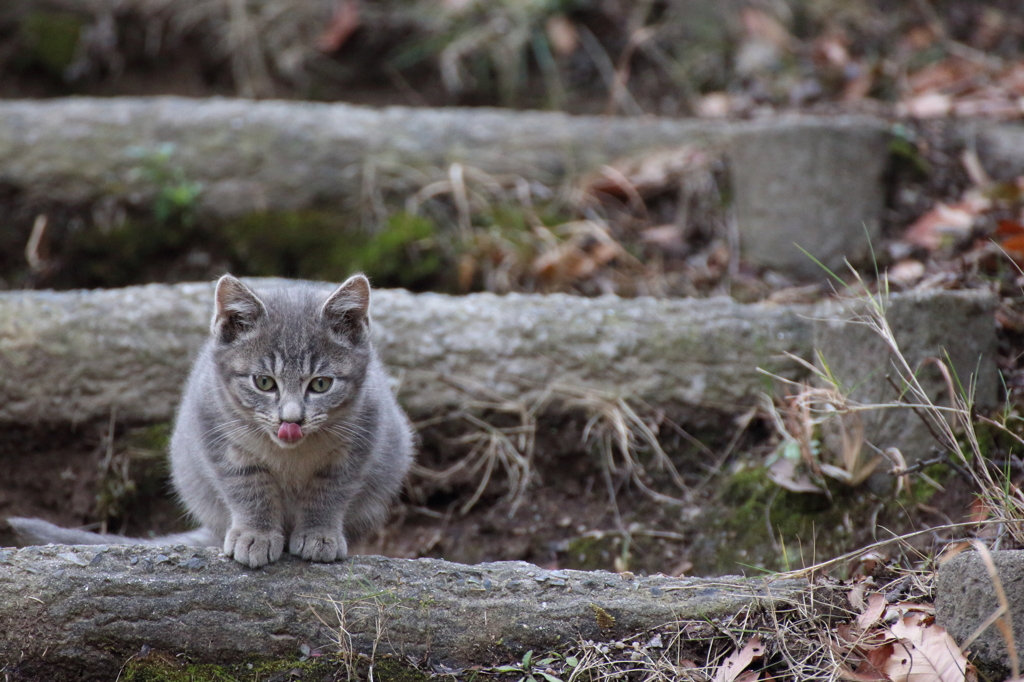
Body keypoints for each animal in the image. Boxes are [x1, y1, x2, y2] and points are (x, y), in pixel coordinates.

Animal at [7, 274, 415, 565]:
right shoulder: (215, 431)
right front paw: (255, 535)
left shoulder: (362, 435)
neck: (289, 454)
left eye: (320, 384)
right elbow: (248, 488)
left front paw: (319, 535)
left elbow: (329, 491)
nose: (292, 420)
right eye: (264, 382)